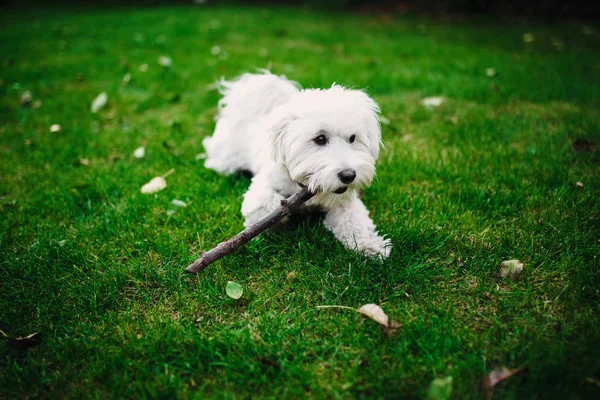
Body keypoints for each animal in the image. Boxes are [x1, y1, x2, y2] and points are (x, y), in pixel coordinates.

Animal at [204, 72, 392, 260]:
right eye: (320, 139)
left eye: (352, 138)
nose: (349, 175)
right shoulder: (262, 187)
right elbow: (265, 205)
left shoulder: (345, 202)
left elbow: (353, 220)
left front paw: (369, 245)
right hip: (227, 159)